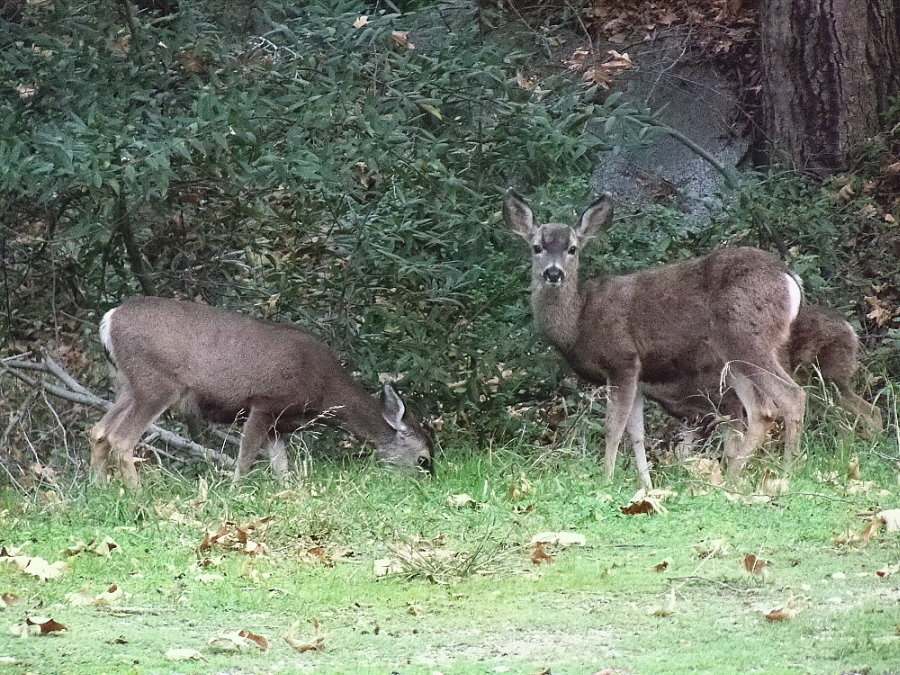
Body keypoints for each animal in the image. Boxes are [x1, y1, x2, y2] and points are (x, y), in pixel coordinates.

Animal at [89, 296, 432, 488]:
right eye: (423, 460)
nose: (428, 482)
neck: (325, 391)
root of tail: (109, 319)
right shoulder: (266, 403)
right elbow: (245, 459)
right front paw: (234, 493)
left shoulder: (279, 426)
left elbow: (282, 468)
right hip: (157, 382)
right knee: (121, 438)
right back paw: (138, 497)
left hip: (127, 383)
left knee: (99, 431)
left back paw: (100, 489)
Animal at [504, 189, 806, 489]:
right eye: (536, 247)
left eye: (573, 248)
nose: (553, 273)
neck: (580, 320)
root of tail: (790, 278)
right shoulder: (639, 379)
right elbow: (636, 433)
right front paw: (646, 486)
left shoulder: (622, 360)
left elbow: (613, 428)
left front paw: (606, 480)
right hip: (732, 357)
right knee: (760, 411)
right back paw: (730, 480)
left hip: (746, 337)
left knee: (791, 396)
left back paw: (785, 474)